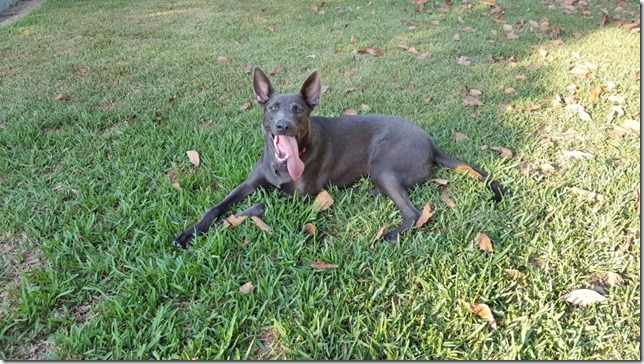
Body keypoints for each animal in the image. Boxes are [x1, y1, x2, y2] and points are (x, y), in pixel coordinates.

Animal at [172, 67, 504, 247]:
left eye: (298, 110)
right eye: (272, 108)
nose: (283, 125)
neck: (282, 165)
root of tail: (431, 144)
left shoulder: (300, 198)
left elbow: (259, 205)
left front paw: (231, 222)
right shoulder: (248, 184)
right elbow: (216, 207)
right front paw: (189, 233)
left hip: (383, 165)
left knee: (413, 213)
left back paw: (389, 235)